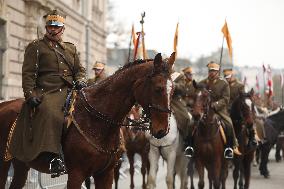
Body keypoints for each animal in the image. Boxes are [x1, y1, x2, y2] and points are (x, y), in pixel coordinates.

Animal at [0, 52, 175, 189]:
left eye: (173, 90)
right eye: (158, 88)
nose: (163, 130)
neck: (98, 122)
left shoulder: (105, 174)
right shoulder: (76, 174)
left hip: (21, 164)